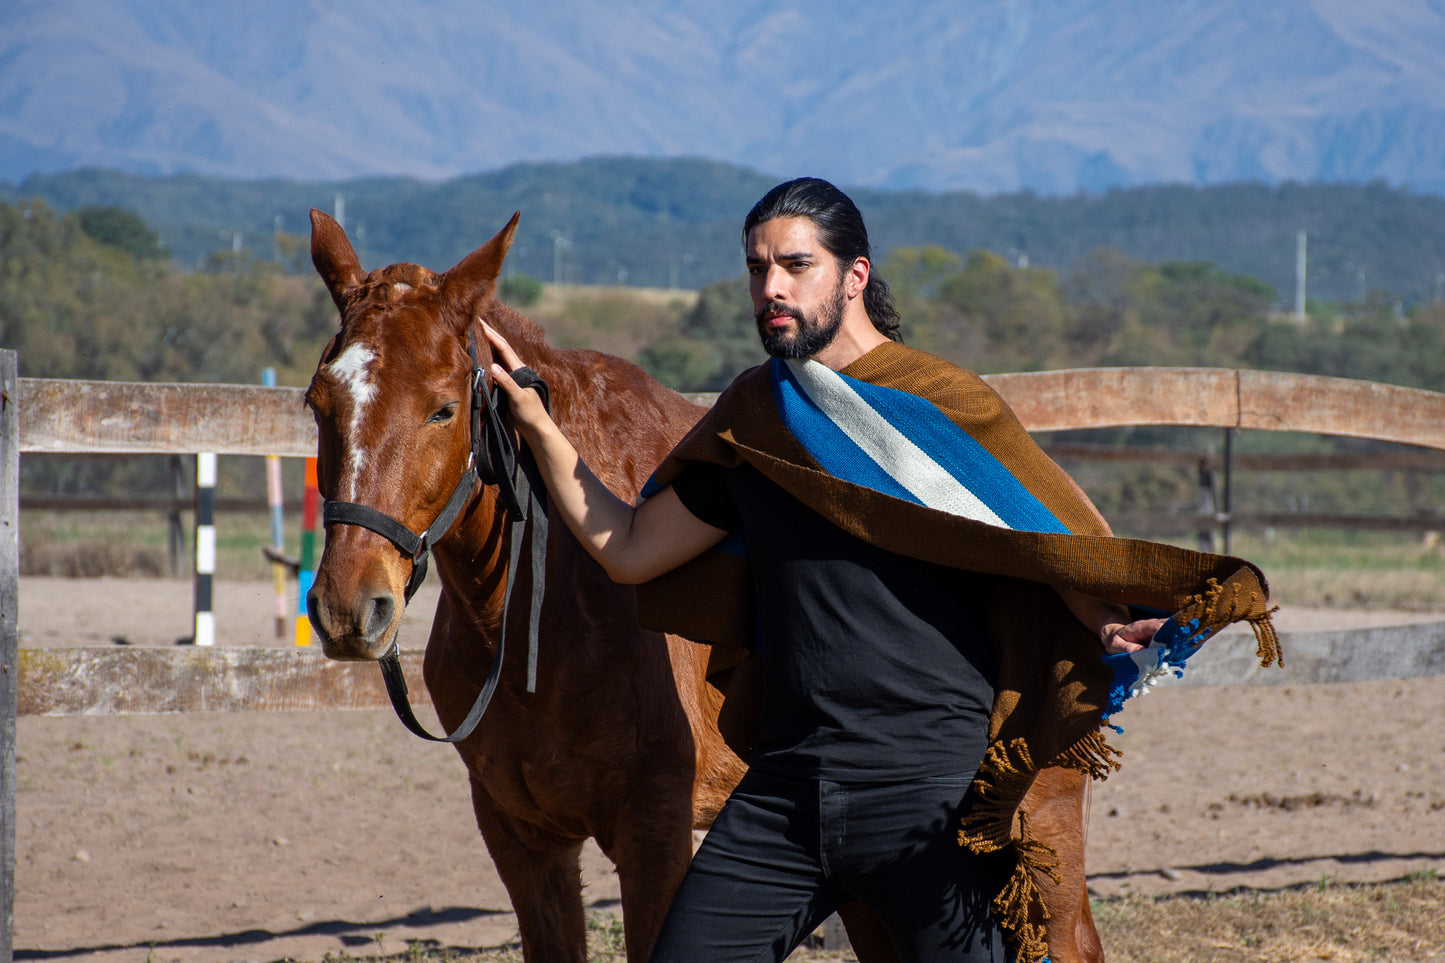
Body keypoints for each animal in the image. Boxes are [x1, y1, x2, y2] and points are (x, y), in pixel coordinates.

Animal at [302, 209, 1092, 960]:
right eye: (317, 402)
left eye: (442, 407)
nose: (347, 607)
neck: (542, 616)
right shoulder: (522, 837)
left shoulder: (654, 835)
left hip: (1033, 820)